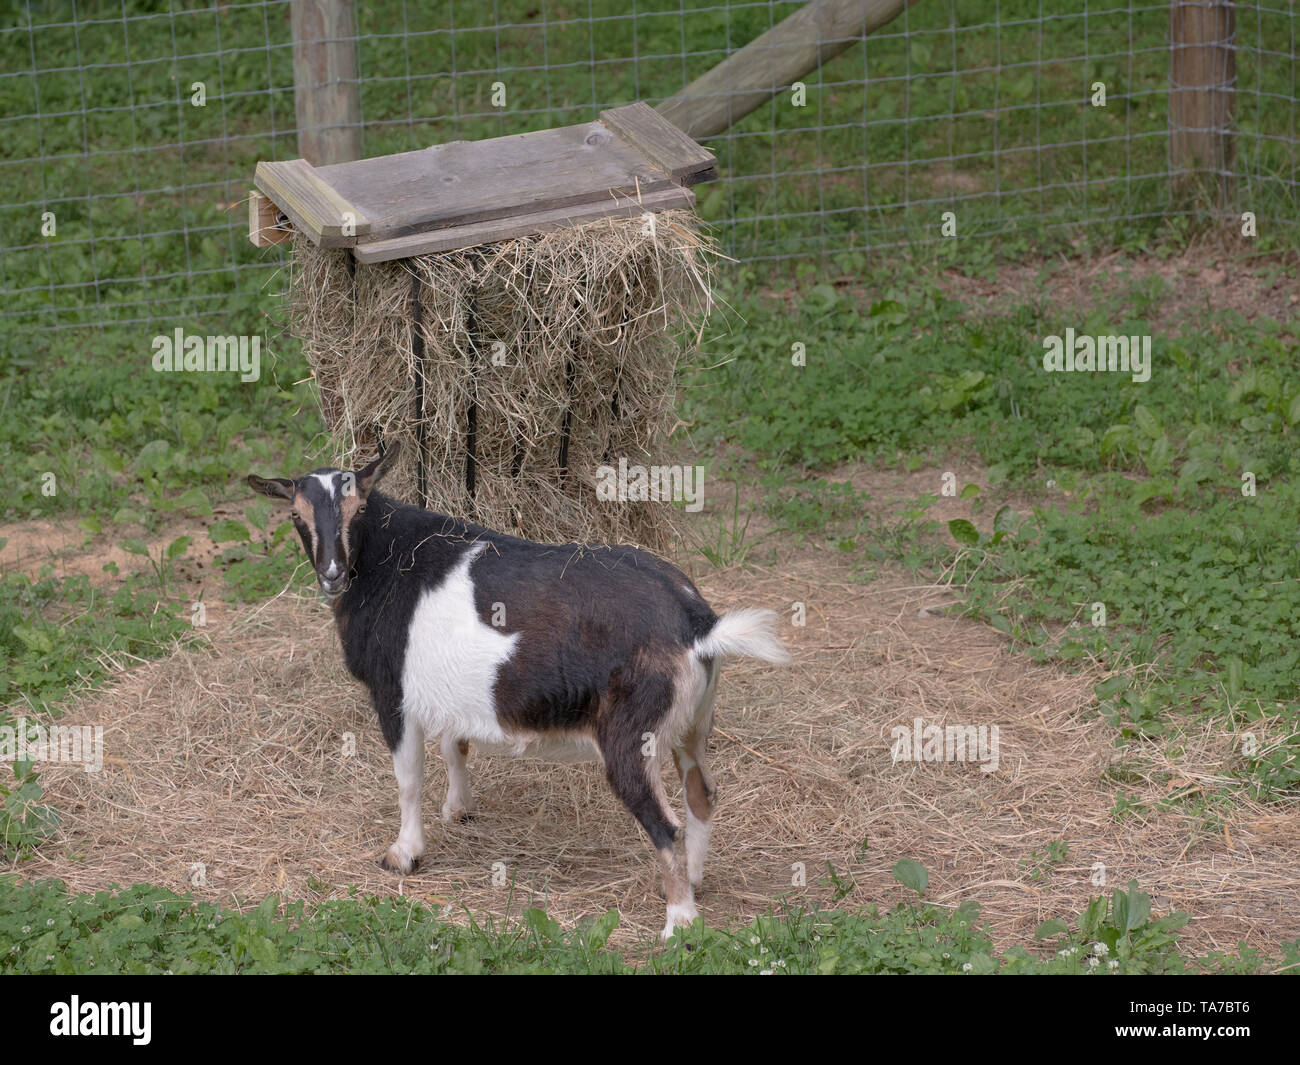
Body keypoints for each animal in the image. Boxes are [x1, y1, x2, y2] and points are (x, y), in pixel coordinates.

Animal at [246, 444, 785, 936]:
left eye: (358, 508)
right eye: (295, 515)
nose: (333, 574)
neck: (387, 560)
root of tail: (697, 624)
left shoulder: (392, 694)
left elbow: (408, 778)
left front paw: (404, 855)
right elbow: (454, 743)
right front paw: (459, 809)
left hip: (633, 734)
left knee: (664, 823)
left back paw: (679, 924)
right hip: (693, 722)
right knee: (702, 793)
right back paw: (693, 879)